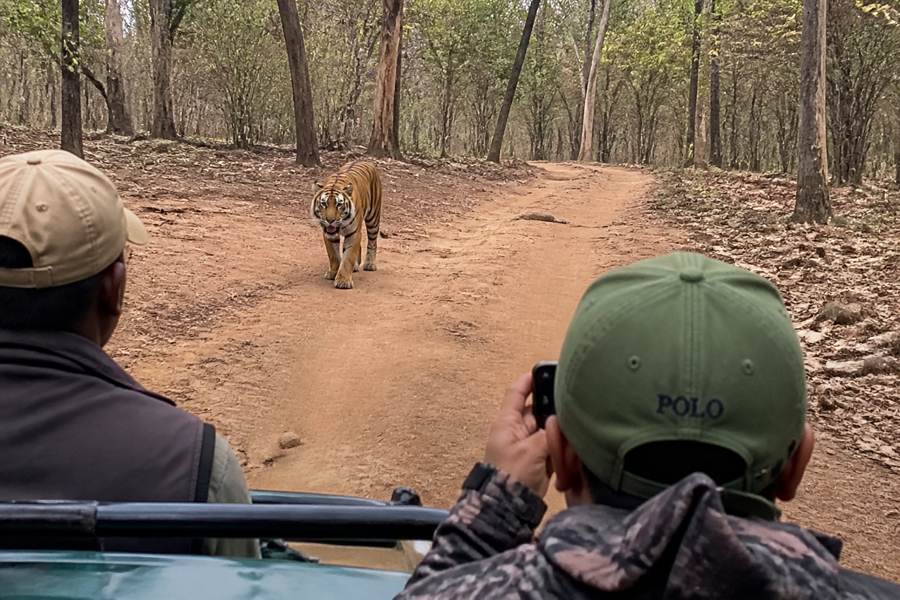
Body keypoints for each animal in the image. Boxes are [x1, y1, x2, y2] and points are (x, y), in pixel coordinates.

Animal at [310, 161, 383, 289]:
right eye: (323, 204)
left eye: (339, 204)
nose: (330, 220)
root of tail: (367, 161)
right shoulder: (328, 234)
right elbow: (333, 255)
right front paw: (333, 273)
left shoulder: (353, 233)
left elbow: (348, 257)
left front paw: (343, 281)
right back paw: (356, 266)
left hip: (373, 218)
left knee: (372, 242)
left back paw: (370, 264)